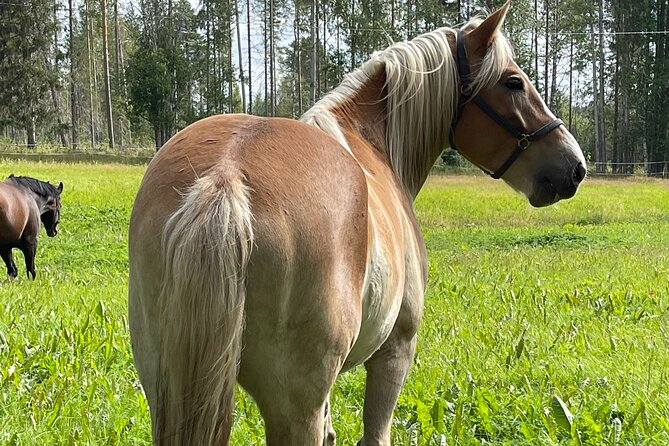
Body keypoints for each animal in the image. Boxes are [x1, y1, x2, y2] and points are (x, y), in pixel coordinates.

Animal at [128, 3, 586, 445]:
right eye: (514, 82)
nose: (575, 166)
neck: (373, 143)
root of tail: (225, 176)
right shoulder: (395, 351)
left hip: (169, 387)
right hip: (294, 406)